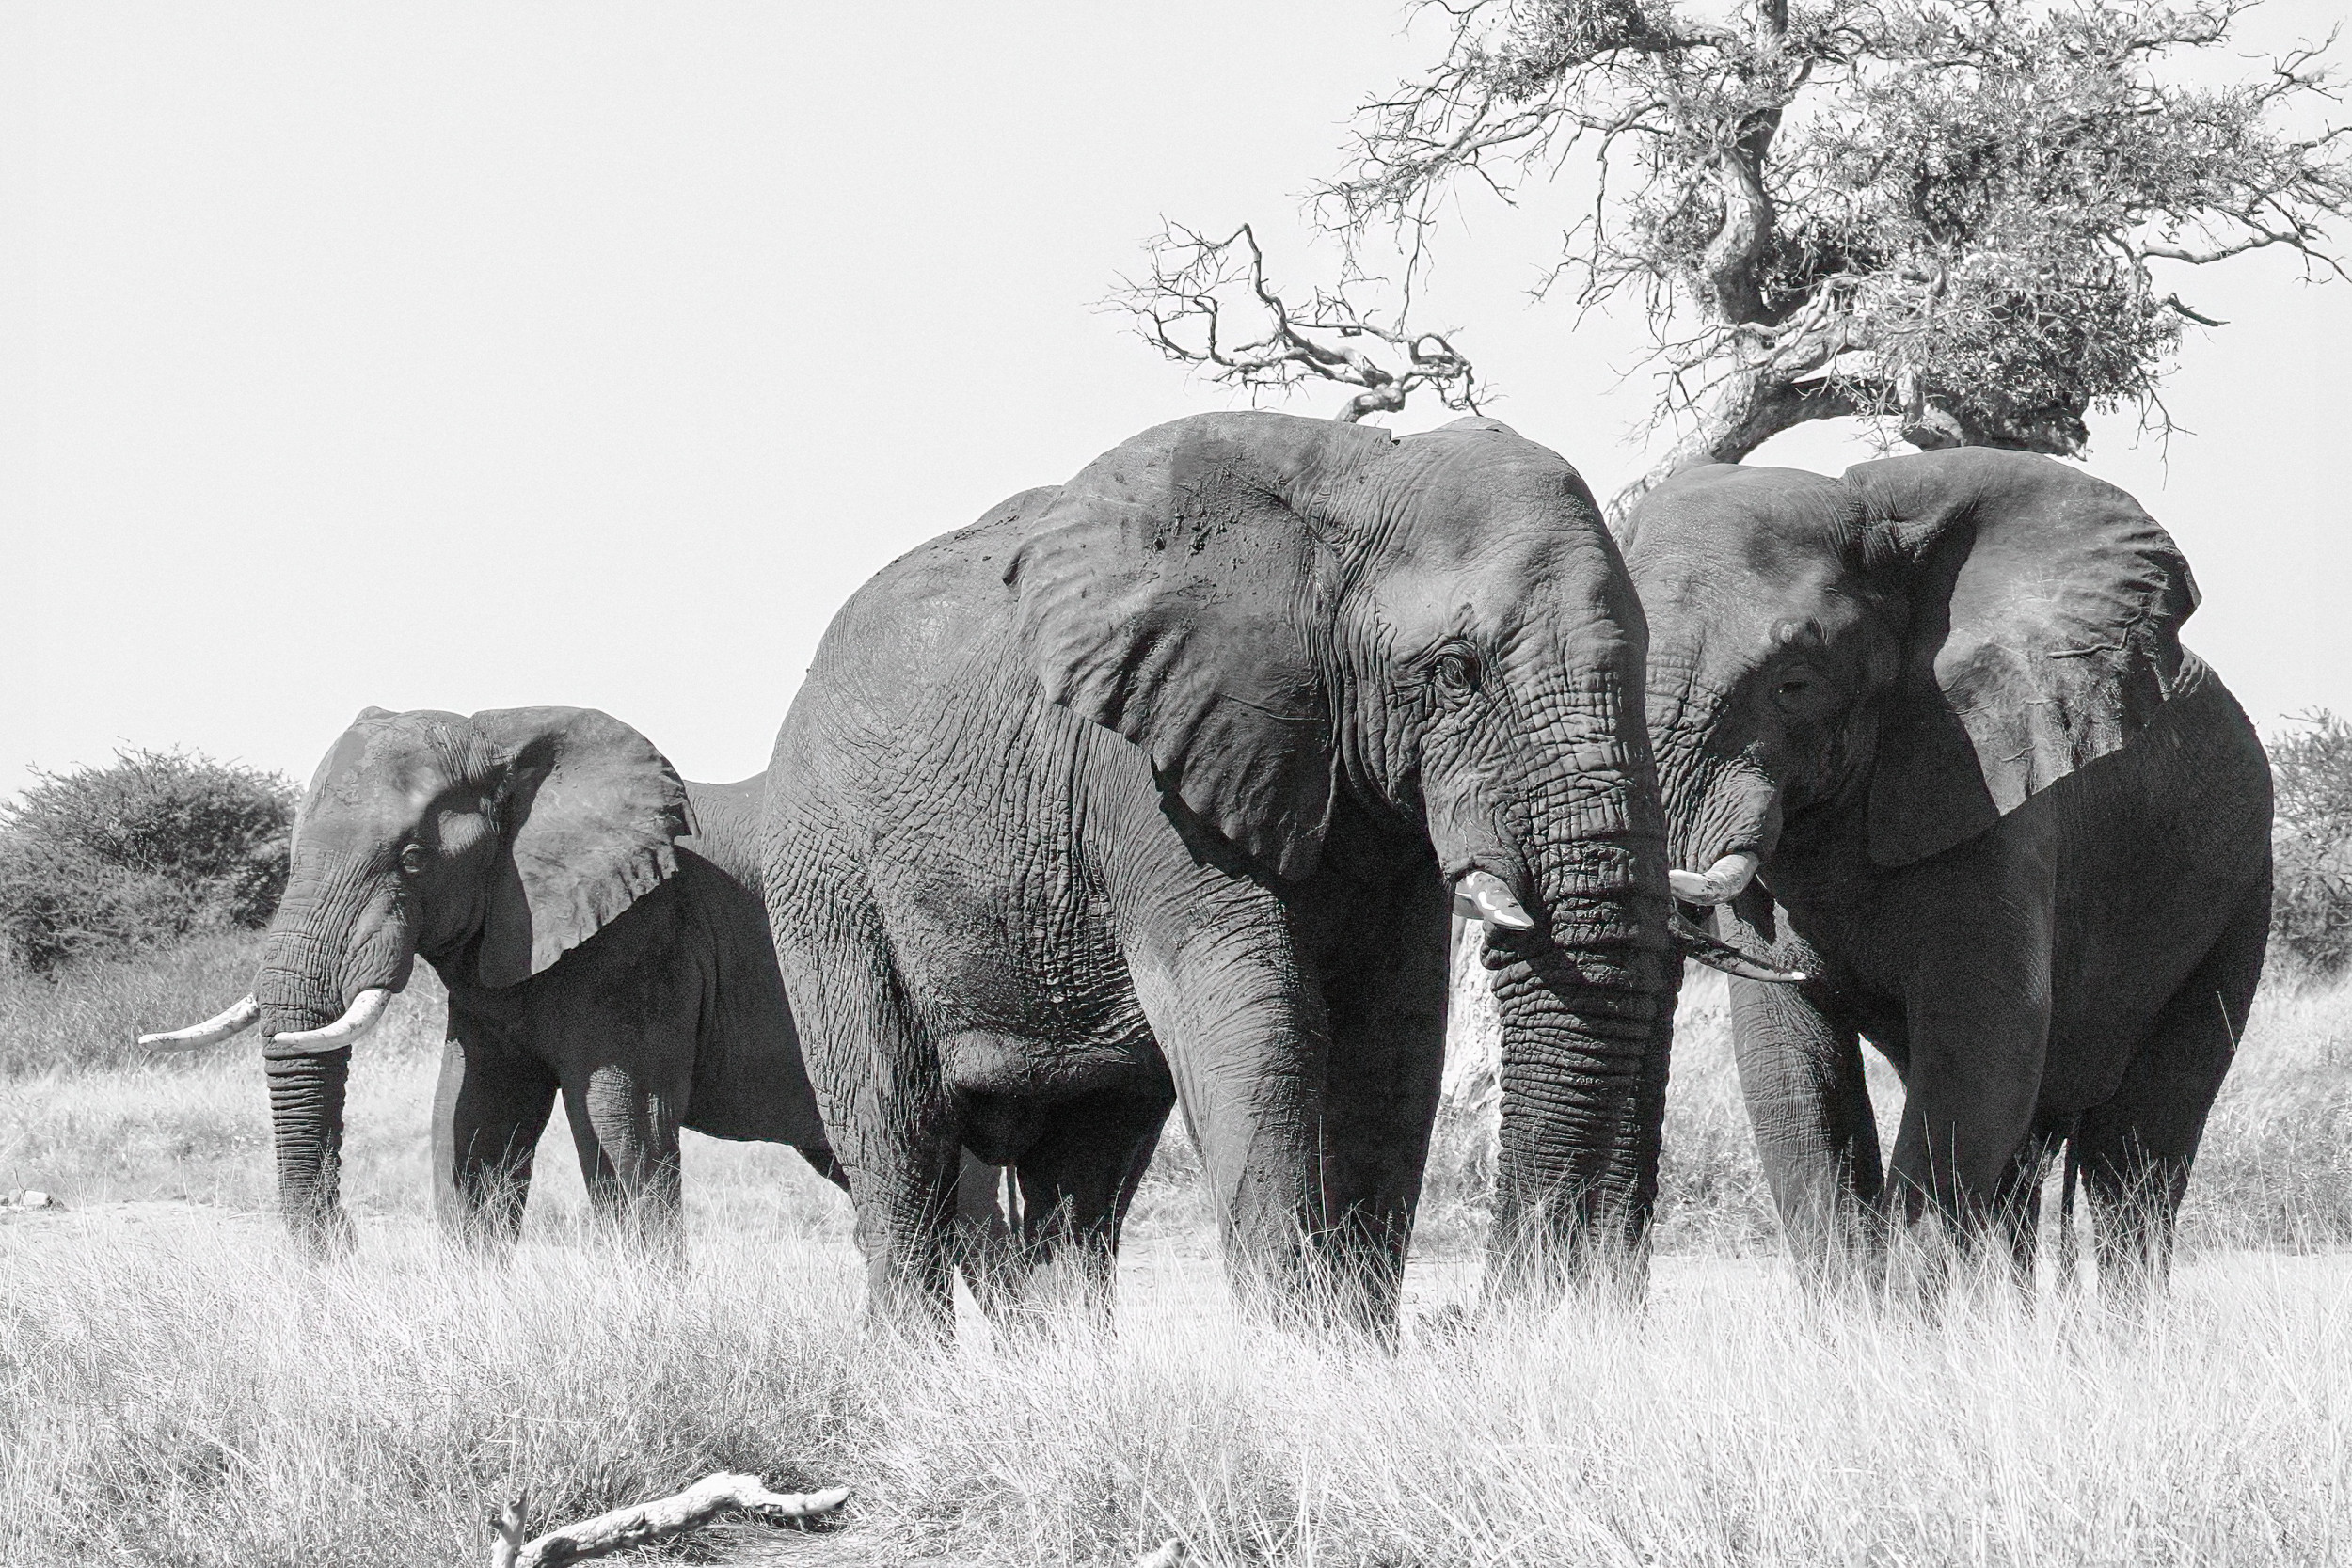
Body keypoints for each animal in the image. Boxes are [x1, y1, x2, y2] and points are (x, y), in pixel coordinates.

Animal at [139, 705, 849, 1248]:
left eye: (414, 859)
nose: (342, 1240)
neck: (503, 741)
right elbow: (472, 1117)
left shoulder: (643, 940)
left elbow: (627, 1123)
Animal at [763, 409, 1773, 1333]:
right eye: (1455, 672)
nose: (1512, 1311)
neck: (1357, 485)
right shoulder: (1150, 771)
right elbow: (1259, 1022)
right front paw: (1300, 1358)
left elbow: (1395, 1042)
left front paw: (1354, 1356)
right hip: (826, 874)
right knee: (899, 1136)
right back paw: (916, 1375)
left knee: (1090, 1156)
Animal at [1625, 448, 2272, 1285]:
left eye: (1794, 685)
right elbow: (1792, 1071)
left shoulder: (2001, 794)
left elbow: (1981, 1049)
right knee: (2026, 1164)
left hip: (2238, 889)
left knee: (2136, 1156)